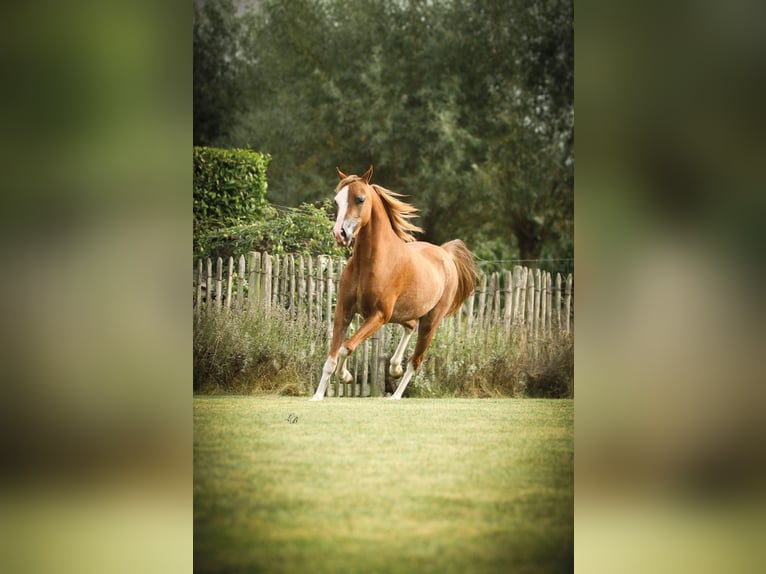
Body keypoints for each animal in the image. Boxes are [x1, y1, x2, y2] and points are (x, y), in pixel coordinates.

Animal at [308, 164, 476, 402]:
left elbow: (345, 348)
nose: (340, 234)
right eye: (336, 201)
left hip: (431, 321)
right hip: (406, 312)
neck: (370, 263)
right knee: (410, 326)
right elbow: (331, 356)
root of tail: (445, 253)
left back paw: (395, 395)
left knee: (415, 361)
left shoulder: (379, 315)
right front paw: (318, 396)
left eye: (360, 199)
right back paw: (394, 368)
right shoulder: (344, 311)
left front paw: (346, 376)